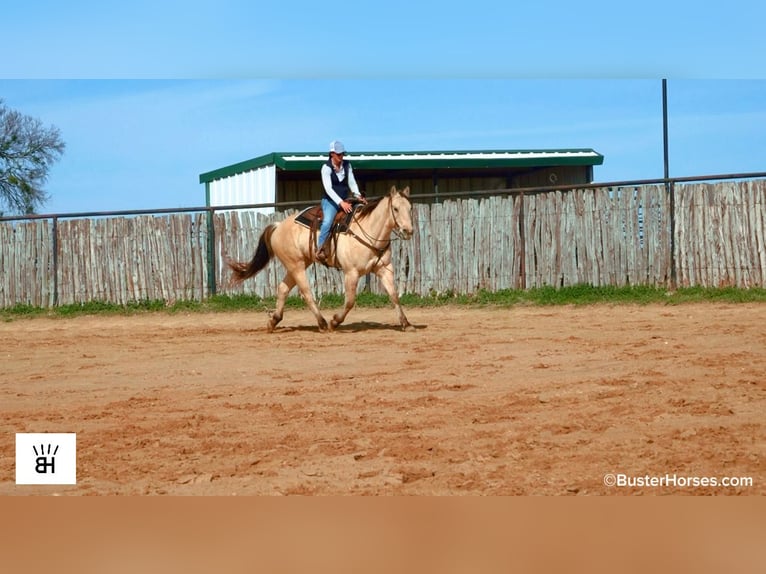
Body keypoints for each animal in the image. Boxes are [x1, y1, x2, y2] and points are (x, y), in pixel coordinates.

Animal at [227, 186, 415, 332]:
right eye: (395, 209)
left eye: (410, 208)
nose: (408, 231)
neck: (368, 231)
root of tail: (278, 226)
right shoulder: (351, 273)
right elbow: (350, 301)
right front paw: (334, 322)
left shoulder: (385, 269)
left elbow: (394, 296)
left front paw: (406, 323)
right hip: (296, 266)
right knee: (306, 293)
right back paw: (323, 323)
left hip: (297, 264)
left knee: (283, 289)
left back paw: (274, 321)